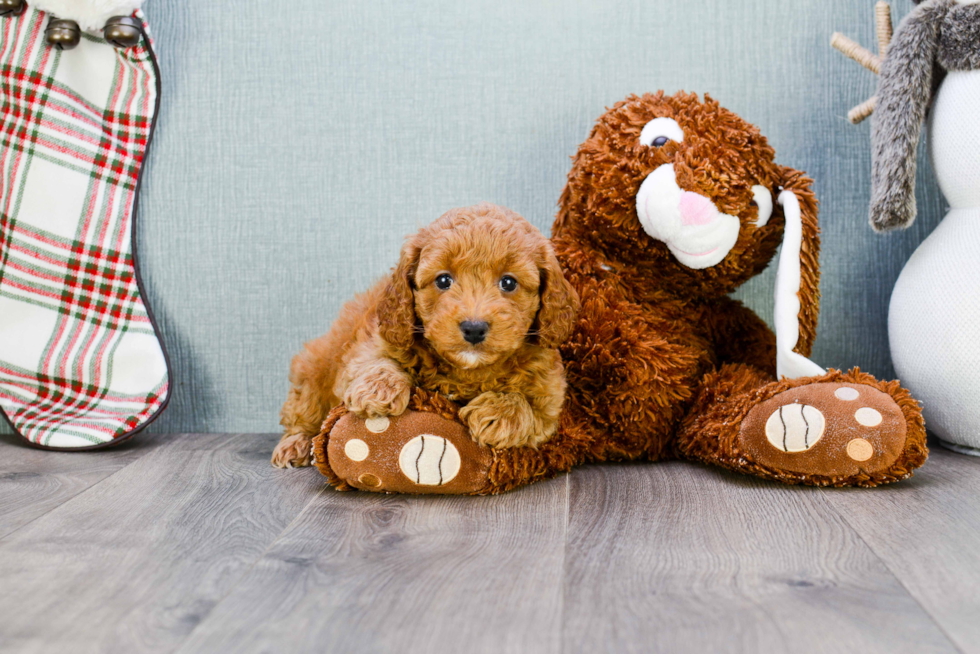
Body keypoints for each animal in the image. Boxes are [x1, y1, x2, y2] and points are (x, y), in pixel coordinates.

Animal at [272, 202, 580, 468]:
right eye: (443, 280)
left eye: (508, 282)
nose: (474, 327)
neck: (467, 371)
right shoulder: (373, 341)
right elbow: (374, 362)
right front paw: (379, 388)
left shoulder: (550, 394)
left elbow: (531, 408)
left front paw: (499, 414)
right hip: (316, 368)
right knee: (304, 410)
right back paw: (296, 444)